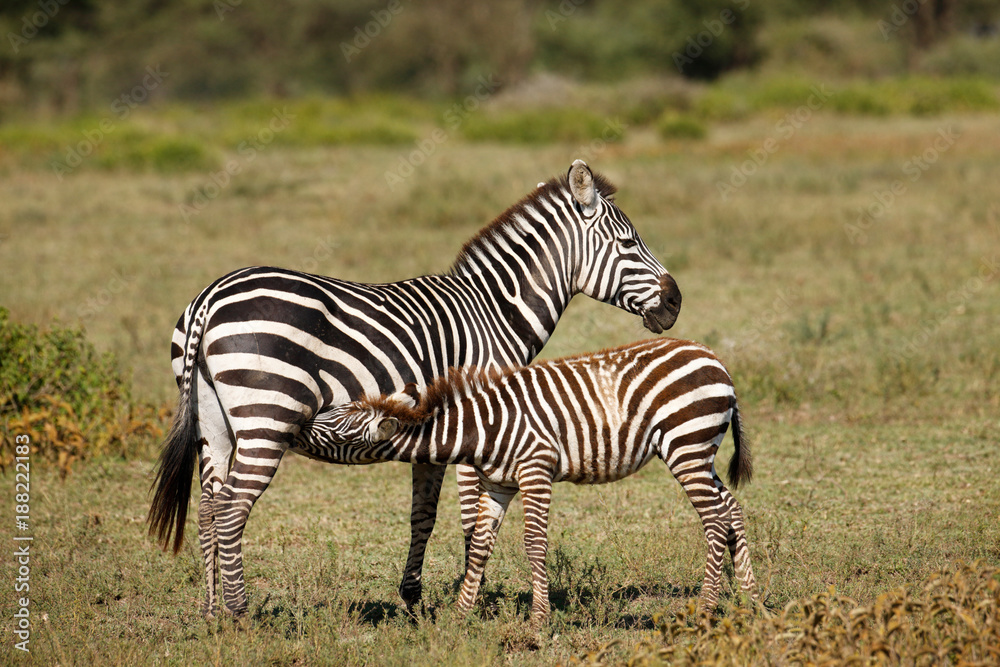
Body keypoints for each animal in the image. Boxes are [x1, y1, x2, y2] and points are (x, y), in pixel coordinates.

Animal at [147, 160, 683, 618]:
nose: (676, 301)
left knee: (210, 505)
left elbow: (422, 514)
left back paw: (212, 609)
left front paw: (414, 598)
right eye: (629, 242)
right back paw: (240, 611)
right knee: (232, 507)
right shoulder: (485, 422)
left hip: (213, 423)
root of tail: (210, 298)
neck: (494, 312)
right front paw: (473, 599)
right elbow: (474, 519)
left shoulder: (438, 430)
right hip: (266, 416)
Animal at [317, 337, 757, 626]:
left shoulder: (535, 469)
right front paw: (460, 615)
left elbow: (534, 543)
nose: (304, 420)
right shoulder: (499, 483)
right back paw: (750, 601)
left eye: (336, 429)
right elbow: (480, 545)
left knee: (715, 520)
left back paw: (704, 610)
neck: (484, 428)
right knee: (732, 510)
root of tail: (713, 358)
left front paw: (538, 619)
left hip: (686, 445)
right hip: (700, 452)